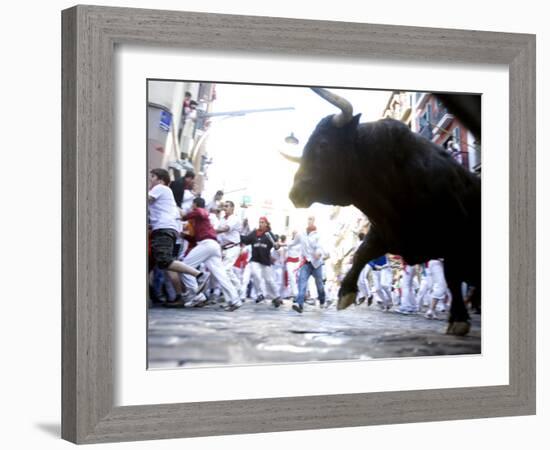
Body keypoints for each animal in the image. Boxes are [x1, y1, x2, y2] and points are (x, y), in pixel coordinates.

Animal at [286, 88, 480, 336]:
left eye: (322, 144)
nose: (295, 193)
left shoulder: (455, 235)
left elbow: (452, 277)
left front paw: (458, 319)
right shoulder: (386, 232)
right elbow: (361, 253)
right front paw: (345, 293)